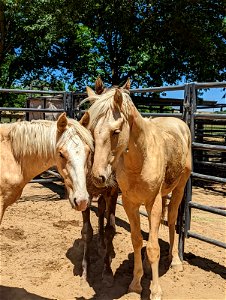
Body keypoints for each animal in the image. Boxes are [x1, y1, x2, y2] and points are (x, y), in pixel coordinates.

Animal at [80, 79, 192, 300]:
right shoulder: (130, 204)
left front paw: (155, 291)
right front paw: (135, 283)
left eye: (115, 132)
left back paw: (175, 261)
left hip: (180, 188)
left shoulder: (153, 203)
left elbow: (153, 247)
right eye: (91, 128)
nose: (98, 177)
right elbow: (138, 240)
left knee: (172, 219)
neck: (140, 159)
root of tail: (179, 123)